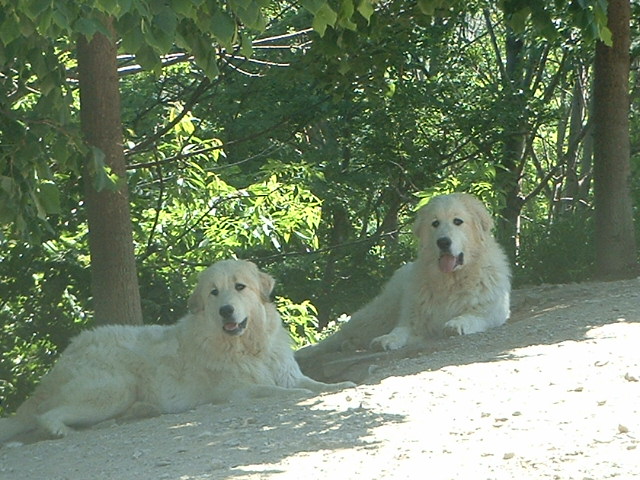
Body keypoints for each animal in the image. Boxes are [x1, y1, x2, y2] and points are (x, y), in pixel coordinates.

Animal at [0, 258, 352, 442]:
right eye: (214, 293)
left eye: (240, 287)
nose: (225, 311)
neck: (250, 347)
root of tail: (66, 355)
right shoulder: (238, 391)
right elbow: (278, 391)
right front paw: (303, 396)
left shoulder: (287, 373)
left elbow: (312, 384)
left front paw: (341, 384)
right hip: (114, 389)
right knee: (47, 415)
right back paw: (63, 430)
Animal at [298, 193, 512, 358]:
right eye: (435, 223)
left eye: (458, 221)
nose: (443, 242)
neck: (451, 280)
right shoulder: (413, 319)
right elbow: (399, 331)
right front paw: (386, 339)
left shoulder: (491, 312)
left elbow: (471, 316)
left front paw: (455, 324)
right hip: (379, 313)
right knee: (342, 334)